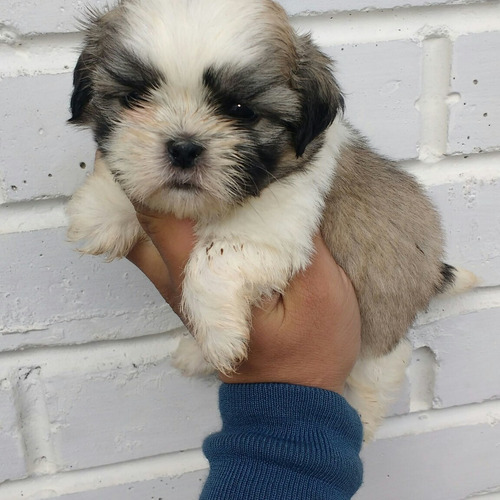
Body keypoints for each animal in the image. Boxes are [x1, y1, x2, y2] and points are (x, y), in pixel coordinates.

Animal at [67, 0, 476, 440]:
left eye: (240, 110)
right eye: (134, 97)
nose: (183, 147)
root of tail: (431, 271)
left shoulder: (274, 233)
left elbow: (212, 258)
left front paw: (219, 336)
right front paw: (102, 209)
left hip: (380, 329)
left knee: (379, 374)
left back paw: (361, 423)